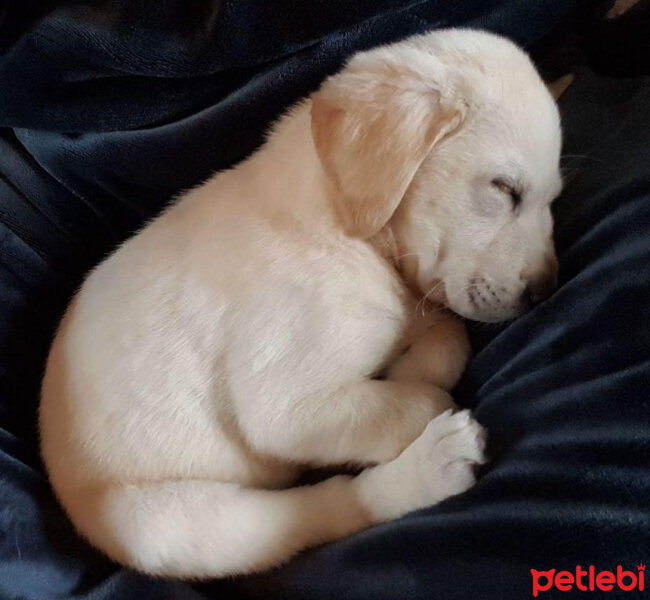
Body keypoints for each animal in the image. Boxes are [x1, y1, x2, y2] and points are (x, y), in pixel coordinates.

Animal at [40, 30, 560, 580]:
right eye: (504, 189)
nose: (546, 290)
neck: (344, 227)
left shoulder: (414, 308)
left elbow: (446, 338)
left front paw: (404, 367)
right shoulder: (285, 406)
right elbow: (422, 399)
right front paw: (405, 395)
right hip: (171, 522)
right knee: (324, 506)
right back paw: (430, 468)